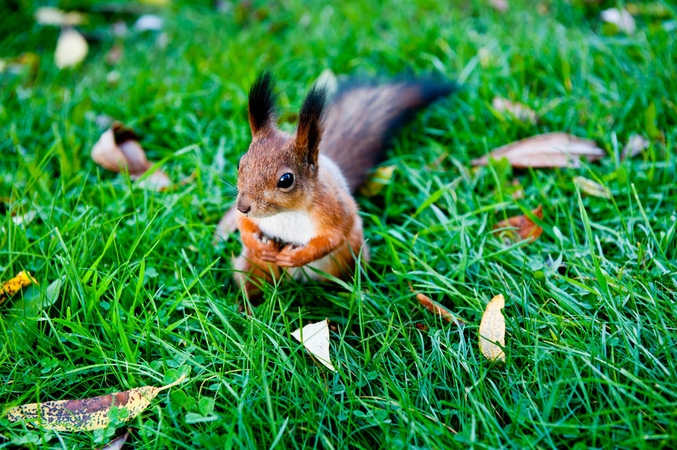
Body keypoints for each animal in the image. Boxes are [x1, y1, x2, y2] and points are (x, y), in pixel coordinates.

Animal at [232, 72, 454, 298]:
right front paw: (259, 245)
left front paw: (296, 257)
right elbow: (243, 224)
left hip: (350, 258)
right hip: (253, 267)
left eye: (286, 180)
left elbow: (334, 237)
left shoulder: (333, 208)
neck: (286, 213)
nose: (243, 206)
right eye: (240, 163)